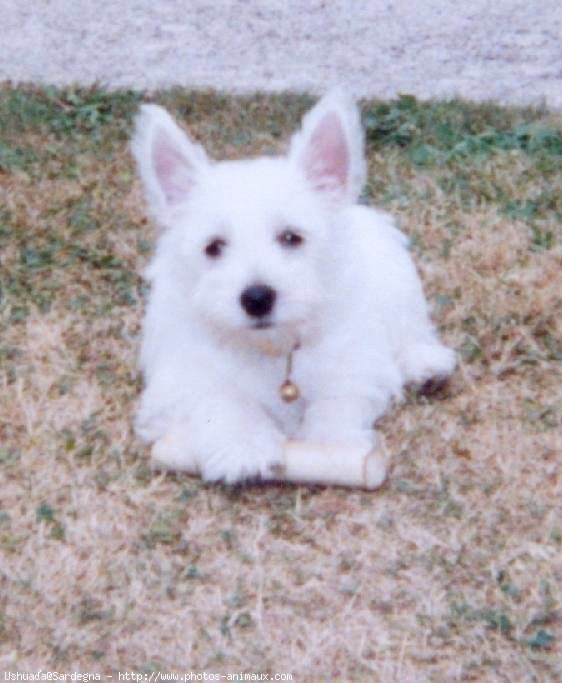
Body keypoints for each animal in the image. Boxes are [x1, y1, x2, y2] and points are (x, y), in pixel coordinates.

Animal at [132, 91, 456, 484]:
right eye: (214, 247)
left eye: (291, 237)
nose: (257, 298)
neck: (274, 349)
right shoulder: (177, 381)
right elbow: (220, 399)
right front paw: (243, 446)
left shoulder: (355, 362)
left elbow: (337, 399)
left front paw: (331, 446)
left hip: (397, 282)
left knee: (411, 329)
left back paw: (425, 363)